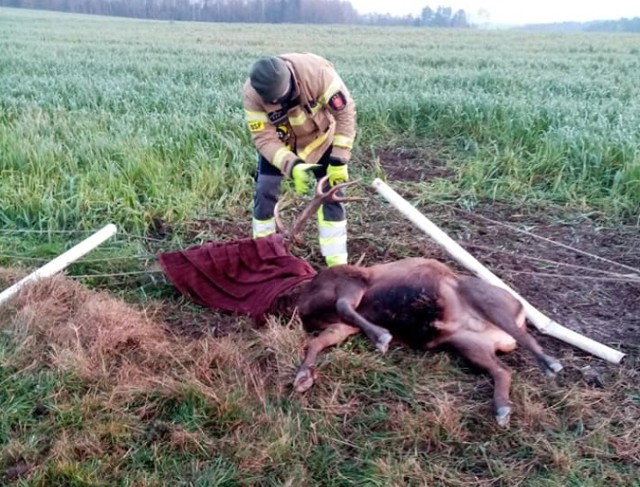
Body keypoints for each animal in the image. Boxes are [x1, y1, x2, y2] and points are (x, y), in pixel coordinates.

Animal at [272, 178, 564, 428]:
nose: (281, 306)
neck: (307, 297)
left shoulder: (353, 281)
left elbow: (344, 307)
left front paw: (382, 337)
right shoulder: (341, 326)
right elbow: (315, 343)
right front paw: (303, 377)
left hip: (487, 299)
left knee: (527, 337)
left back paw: (551, 365)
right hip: (469, 344)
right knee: (503, 371)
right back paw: (502, 409)